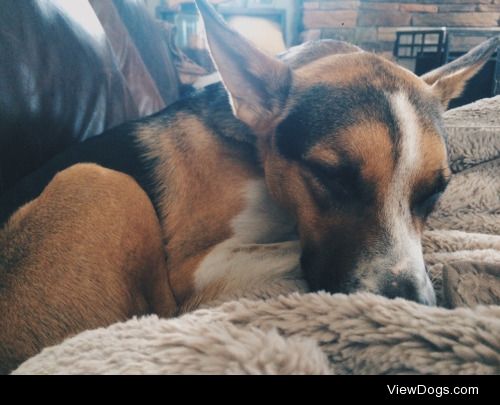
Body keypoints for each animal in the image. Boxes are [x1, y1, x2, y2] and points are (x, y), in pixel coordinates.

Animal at [1, 0, 498, 372]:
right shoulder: (197, 267)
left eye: (435, 192)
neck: (255, 155)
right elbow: (288, 248)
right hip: (98, 178)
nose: (409, 305)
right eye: (331, 176)